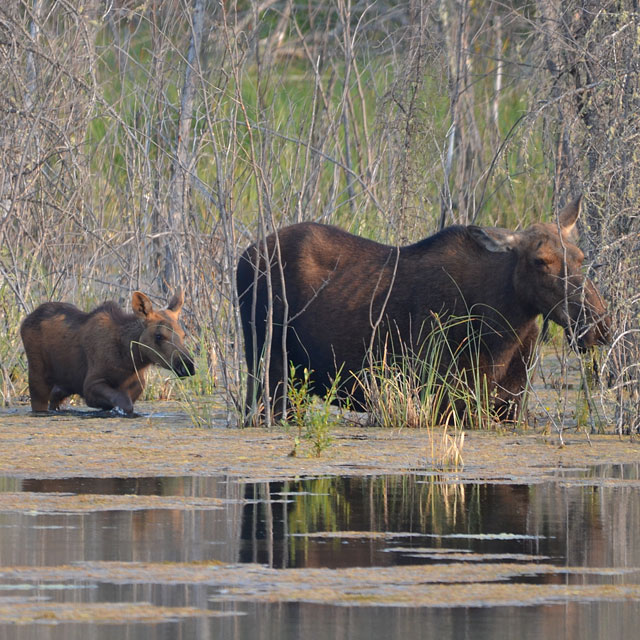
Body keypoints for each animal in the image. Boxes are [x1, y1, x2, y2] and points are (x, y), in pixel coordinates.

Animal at [21, 290, 194, 416]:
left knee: (55, 395)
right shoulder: (91, 385)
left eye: (183, 335)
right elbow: (124, 403)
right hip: (37, 378)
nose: (188, 365)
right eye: (159, 336)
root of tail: (25, 321)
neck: (129, 361)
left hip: (64, 383)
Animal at [236, 196, 608, 424]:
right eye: (540, 261)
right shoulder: (442, 396)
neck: (504, 330)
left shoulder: (510, 404)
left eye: (580, 257)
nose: (599, 324)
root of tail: (245, 255)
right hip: (268, 372)